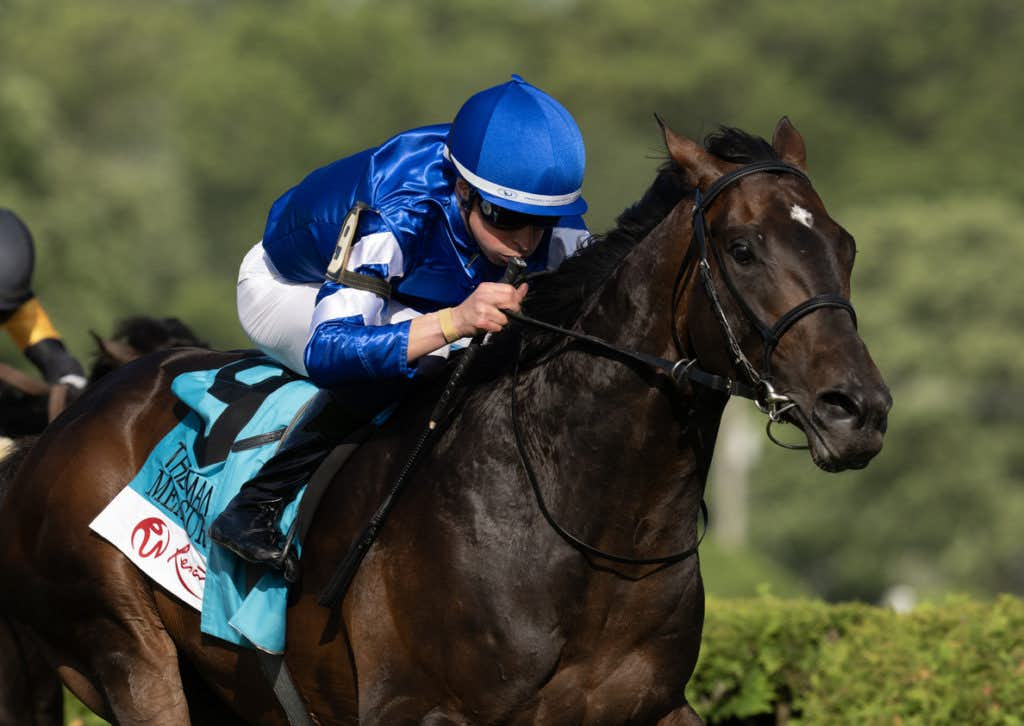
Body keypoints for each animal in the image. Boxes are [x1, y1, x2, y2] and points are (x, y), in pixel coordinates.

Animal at [0, 120, 888, 724]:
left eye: (845, 245)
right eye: (742, 248)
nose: (860, 410)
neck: (586, 532)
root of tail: (66, 423)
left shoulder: (655, 708)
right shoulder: (416, 711)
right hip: (129, 654)